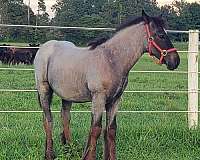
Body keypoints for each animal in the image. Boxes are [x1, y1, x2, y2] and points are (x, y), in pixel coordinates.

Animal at [34, 10, 180, 159]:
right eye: (161, 35)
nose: (175, 61)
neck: (111, 60)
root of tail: (44, 47)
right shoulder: (99, 98)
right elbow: (96, 130)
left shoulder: (115, 100)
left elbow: (111, 129)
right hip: (44, 90)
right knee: (48, 120)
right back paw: (49, 154)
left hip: (67, 96)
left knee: (65, 118)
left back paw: (70, 150)